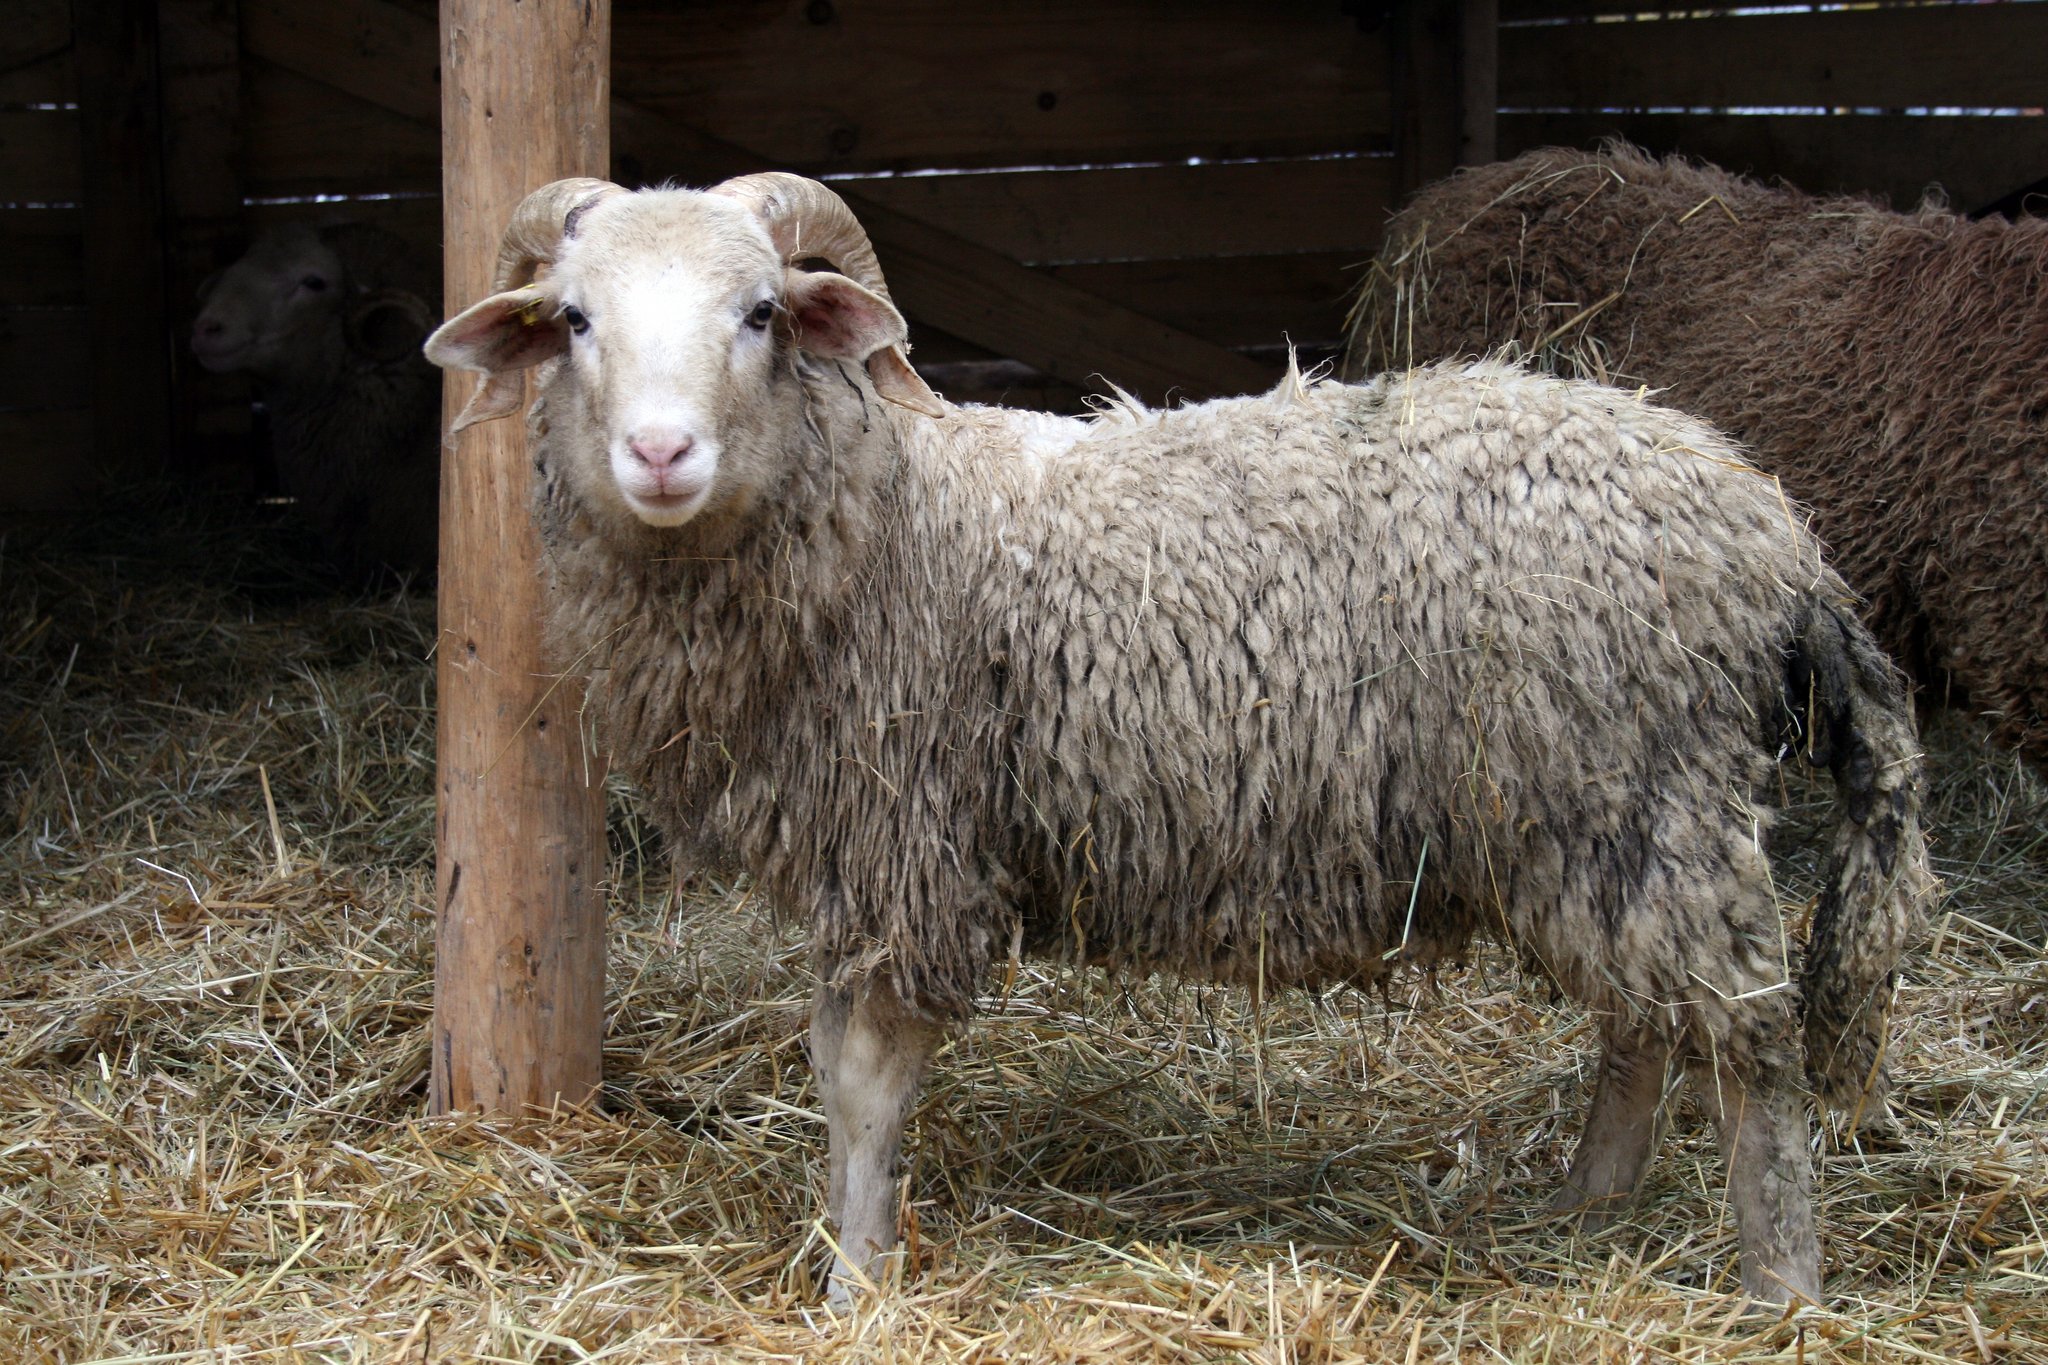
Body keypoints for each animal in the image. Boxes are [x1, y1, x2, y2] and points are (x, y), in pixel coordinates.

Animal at [423, 173, 1935, 1306]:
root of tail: (1767, 530)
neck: (887, 509)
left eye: (757, 313)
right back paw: (1584, 1210)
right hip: (1591, 813)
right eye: (573, 318)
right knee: (1643, 1024)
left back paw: (1781, 1284)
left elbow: (857, 1082)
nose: (659, 455)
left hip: (1642, 796)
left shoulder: (909, 844)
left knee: (1748, 1034)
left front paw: (854, 1281)